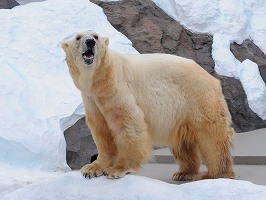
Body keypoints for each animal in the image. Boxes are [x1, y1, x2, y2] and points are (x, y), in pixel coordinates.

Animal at [61, 30, 235, 180]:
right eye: (78, 37)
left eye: (96, 36)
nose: (90, 42)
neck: (99, 80)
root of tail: (210, 77)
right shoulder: (92, 99)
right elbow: (101, 131)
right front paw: (91, 168)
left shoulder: (116, 89)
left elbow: (128, 123)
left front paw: (118, 169)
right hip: (180, 111)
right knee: (183, 142)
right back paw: (184, 172)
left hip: (198, 97)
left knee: (212, 136)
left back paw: (215, 174)